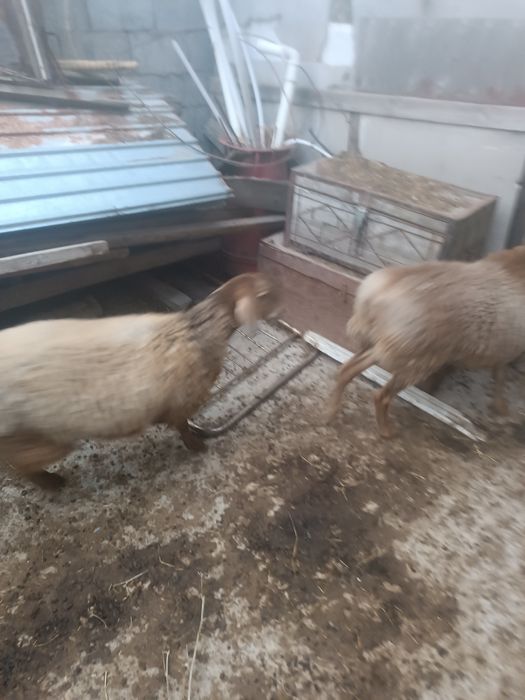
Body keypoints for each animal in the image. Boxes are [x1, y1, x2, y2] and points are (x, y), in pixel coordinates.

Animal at [0, 272, 281, 489]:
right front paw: (197, 446)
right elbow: (182, 426)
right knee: (17, 464)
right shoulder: (183, 401)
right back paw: (52, 483)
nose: (281, 310)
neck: (198, 331)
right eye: (265, 294)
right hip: (39, 436)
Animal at [325, 245, 525, 438]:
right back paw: (385, 431)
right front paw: (502, 406)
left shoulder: (504, 351)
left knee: (348, 368)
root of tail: (377, 292)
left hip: (387, 345)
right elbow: (500, 377)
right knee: (381, 396)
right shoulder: (507, 351)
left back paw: (332, 411)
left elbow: (499, 376)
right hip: (415, 358)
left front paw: (501, 407)